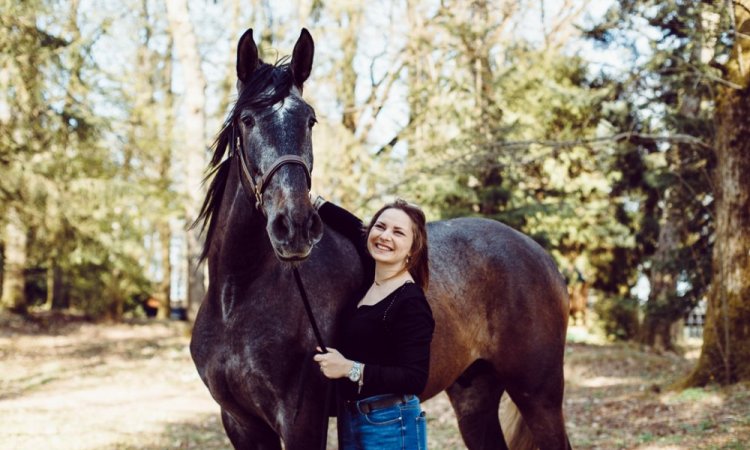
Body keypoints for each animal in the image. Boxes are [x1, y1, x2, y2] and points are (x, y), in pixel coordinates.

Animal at [191, 28, 572, 450]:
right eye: (247, 120)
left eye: (310, 120)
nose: (295, 227)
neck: (236, 297)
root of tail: (542, 257)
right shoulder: (240, 423)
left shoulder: (300, 422)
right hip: (474, 396)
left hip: (538, 396)